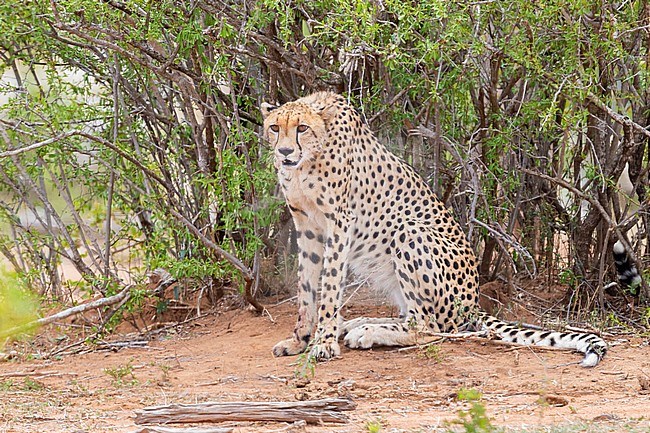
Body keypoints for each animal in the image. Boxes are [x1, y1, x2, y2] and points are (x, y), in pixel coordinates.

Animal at [260, 91, 608, 364]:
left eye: (302, 128)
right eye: (274, 128)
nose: (285, 151)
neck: (308, 160)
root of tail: (472, 302)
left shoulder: (340, 222)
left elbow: (330, 284)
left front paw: (324, 341)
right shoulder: (306, 223)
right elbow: (306, 286)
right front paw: (301, 338)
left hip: (408, 230)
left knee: (430, 327)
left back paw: (367, 331)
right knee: (412, 317)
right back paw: (359, 323)